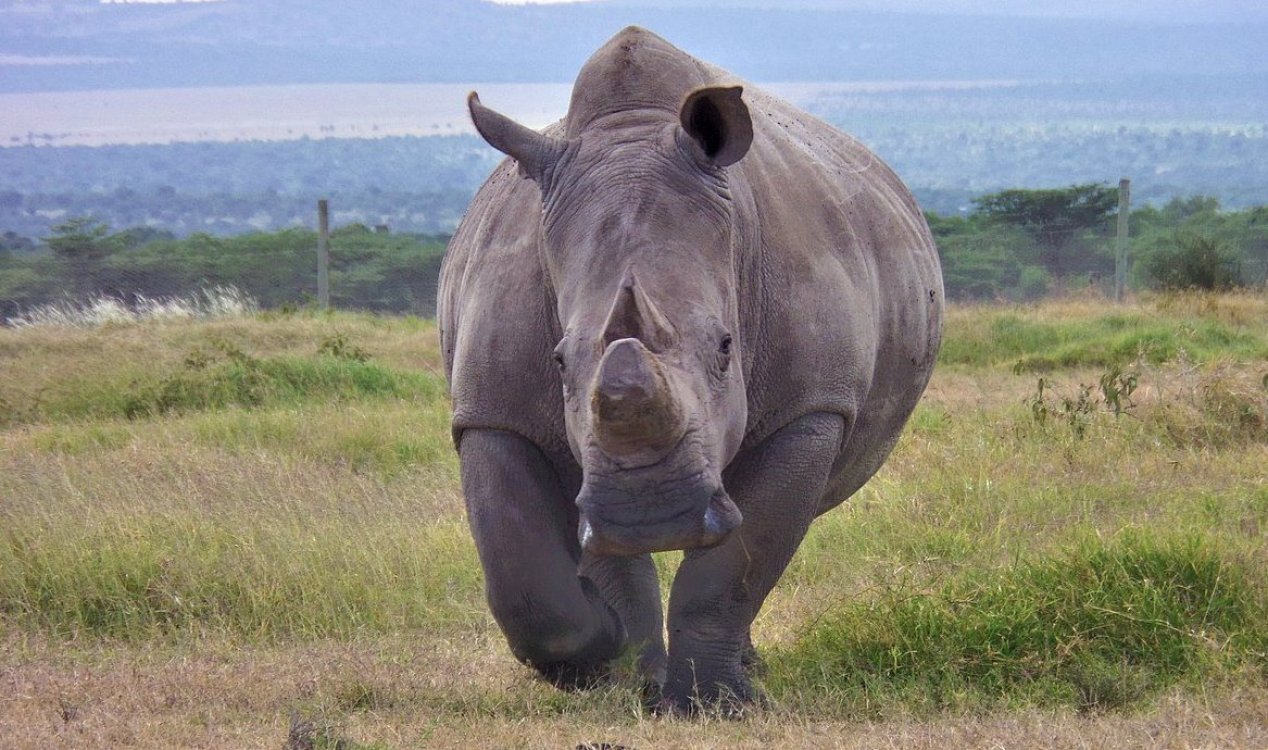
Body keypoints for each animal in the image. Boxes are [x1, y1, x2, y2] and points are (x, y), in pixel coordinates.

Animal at [438, 26, 942, 711]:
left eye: (727, 347)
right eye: (559, 361)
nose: (652, 515)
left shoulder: (812, 407)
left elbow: (736, 564)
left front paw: (717, 704)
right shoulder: (494, 410)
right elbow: (535, 584)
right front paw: (617, 664)